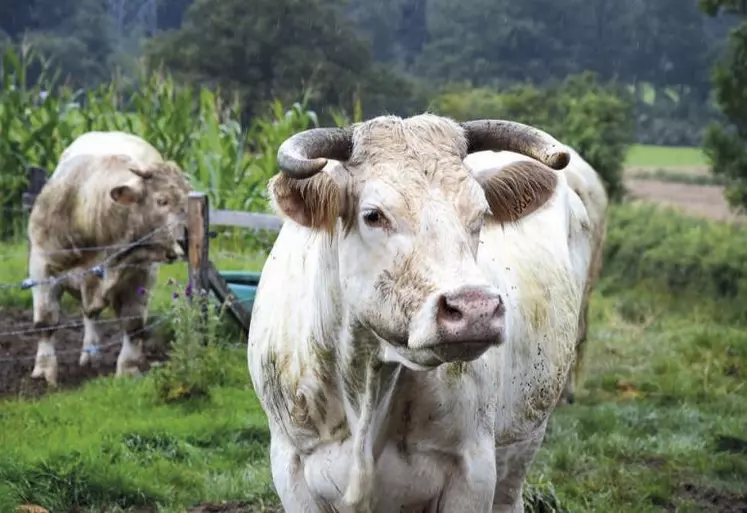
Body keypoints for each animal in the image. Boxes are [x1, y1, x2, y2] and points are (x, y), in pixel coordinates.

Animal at [27, 131, 193, 384]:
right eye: (162, 200)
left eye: (189, 200)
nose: (186, 239)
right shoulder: (42, 266)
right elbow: (46, 322)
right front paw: (44, 371)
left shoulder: (141, 274)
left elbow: (133, 325)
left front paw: (128, 370)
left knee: (91, 314)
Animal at [248, 114, 592, 510]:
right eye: (373, 215)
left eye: (481, 213)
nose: (474, 308)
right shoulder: (291, 467)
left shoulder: (473, 471)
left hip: (521, 446)